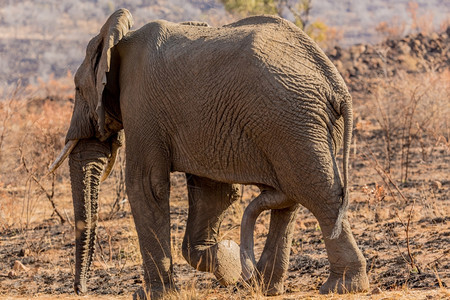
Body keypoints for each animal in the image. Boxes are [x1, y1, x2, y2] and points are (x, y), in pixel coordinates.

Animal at [50, 8, 370, 298]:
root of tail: (335, 84)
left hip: (292, 120)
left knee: (318, 193)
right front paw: (228, 263)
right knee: (292, 196)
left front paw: (154, 295)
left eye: (77, 88)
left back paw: (342, 287)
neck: (118, 39)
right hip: (293, 125)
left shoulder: (141, 104)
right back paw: (266, 287)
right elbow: (213, 193)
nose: (81, 290)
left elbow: (146, 185)